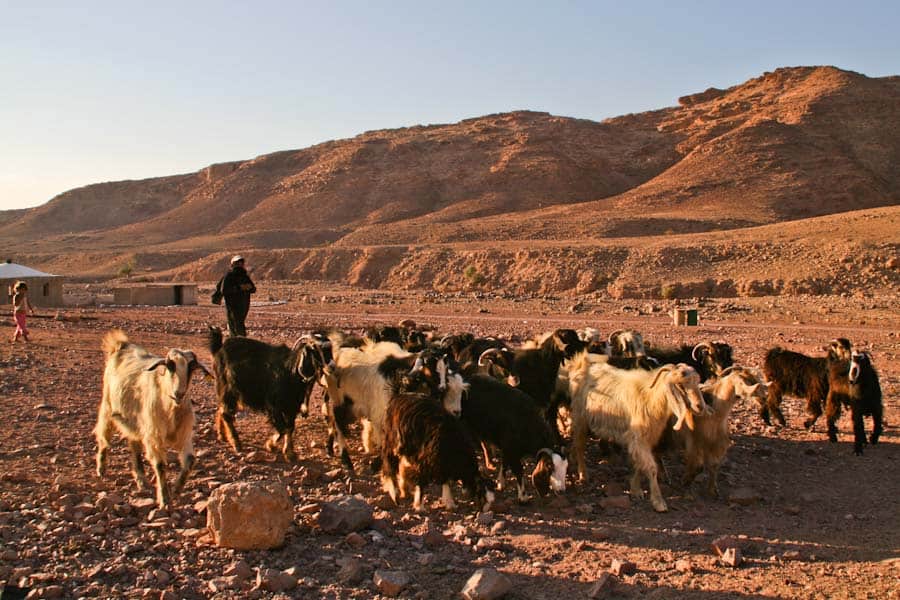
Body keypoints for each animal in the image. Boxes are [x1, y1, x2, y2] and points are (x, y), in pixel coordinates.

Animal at [94, 330, 209, 508]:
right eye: (169, 365)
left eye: (191, 367)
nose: (178, 393)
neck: (170, 407)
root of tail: (121, 345)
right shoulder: (154, 434)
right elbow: (160, 465)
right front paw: (165, 500)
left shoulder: (184, 434)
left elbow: (190, 460)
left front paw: (176, 490)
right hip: (108, 406)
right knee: (104, 436)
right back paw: (101, 468)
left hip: (134, 420)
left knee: (134, 444)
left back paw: (141, 480)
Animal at [208, 328, 334, 460]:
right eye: (315, 350)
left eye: (330, 349)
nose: (332, 367)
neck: (290, 370)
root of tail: (219, 348)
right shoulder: (273, 406)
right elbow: (283, 428)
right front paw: (271, 445)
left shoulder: (292, 406)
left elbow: (290, 427)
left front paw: (289, 453)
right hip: (228, 388)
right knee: (226, 413)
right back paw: (236, 443)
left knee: (221, 409)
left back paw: (222, 435)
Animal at [568, 354, 712, 512]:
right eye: (681, 385)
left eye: (696, 382)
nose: (700, 406)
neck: (650, 398)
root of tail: (581, 365)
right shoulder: (638, 438)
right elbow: (651, 468)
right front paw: (658, 502)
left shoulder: (645, 438)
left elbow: (639, 464)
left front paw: (636, 490)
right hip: (580, 418)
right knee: (579, 446)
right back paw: (583, 475)